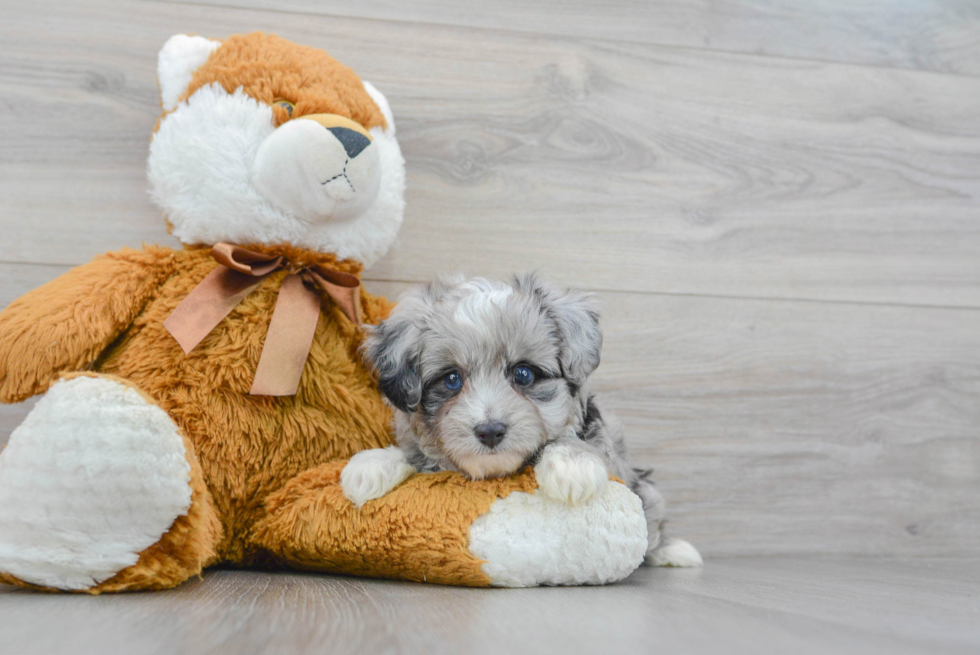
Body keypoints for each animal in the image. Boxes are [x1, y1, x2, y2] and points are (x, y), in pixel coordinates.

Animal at [340, 272, 700, 568]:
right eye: (452, 379)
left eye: (523, 374)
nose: (490, 431)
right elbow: (414, 454)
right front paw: (370, 466)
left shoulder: (611, 456)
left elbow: (573, 443)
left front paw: (573, 467)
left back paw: (674, 552)